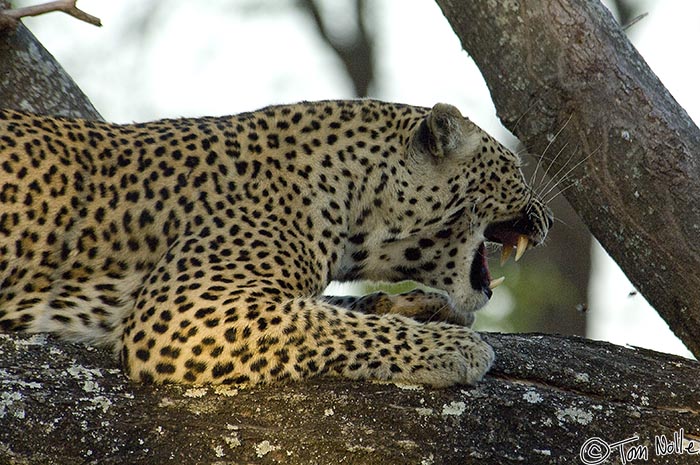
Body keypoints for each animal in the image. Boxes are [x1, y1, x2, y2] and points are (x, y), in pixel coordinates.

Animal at [0, 99, 552, 386]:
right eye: (514, 167)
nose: (546, 217)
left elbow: (332, 307)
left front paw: (423, 306)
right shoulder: (183, 309)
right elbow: (326, 324)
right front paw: (452, 347)